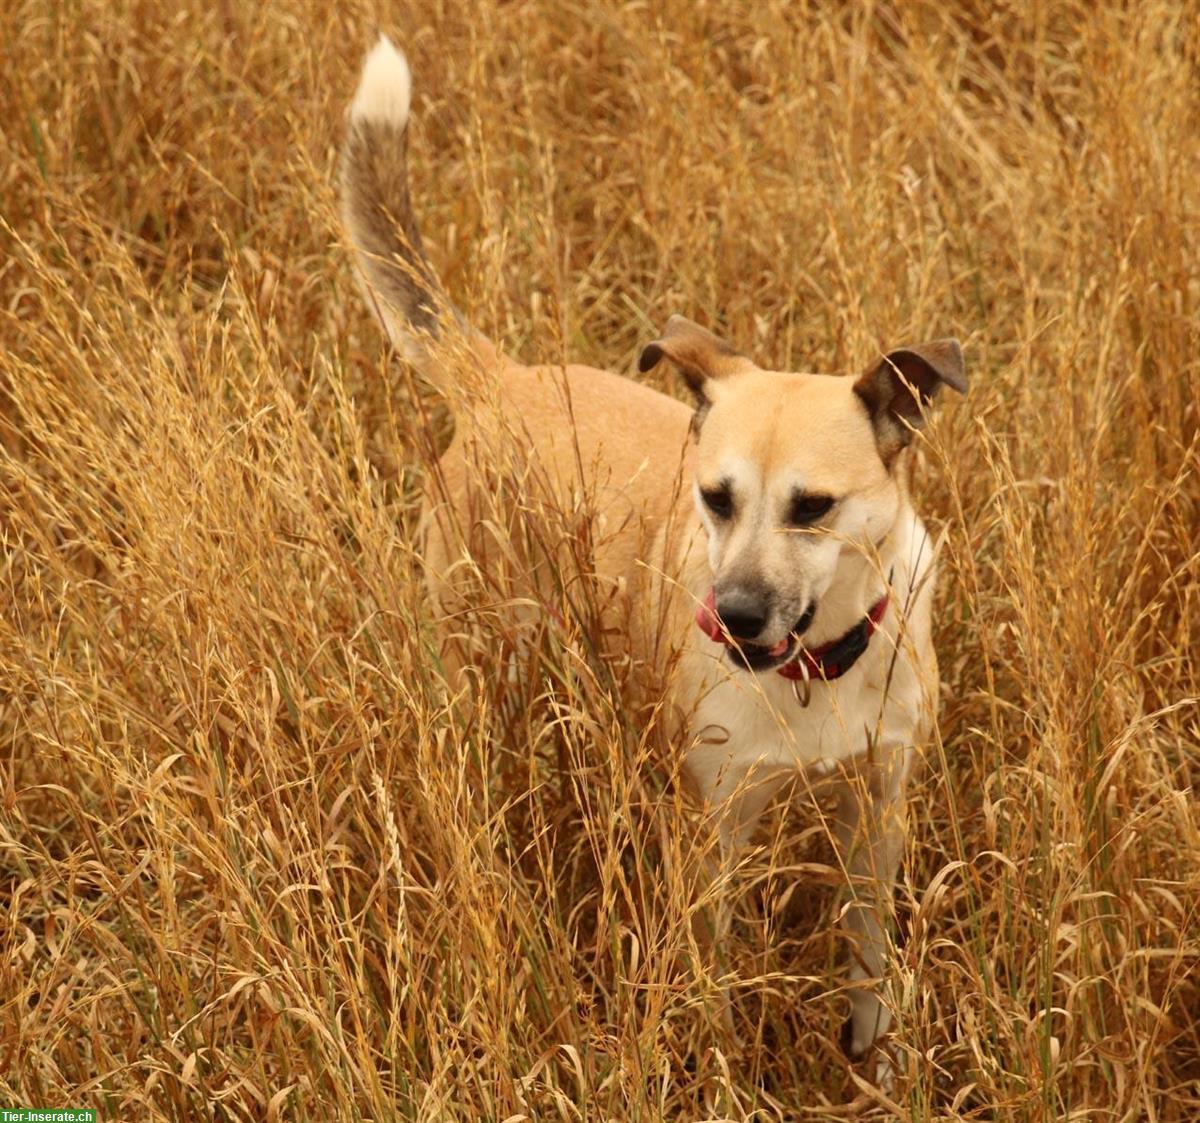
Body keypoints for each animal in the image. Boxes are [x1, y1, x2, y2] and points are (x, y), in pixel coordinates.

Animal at [338, 32, 964, 1070]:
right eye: (714, 496)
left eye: (814, 507)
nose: (736, 619)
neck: (816, 672)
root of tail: (501, 380)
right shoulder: (714, 829)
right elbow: (713, 992)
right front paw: (719, 1071)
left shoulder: (879, 808)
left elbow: (869, 958)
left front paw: (875, 1062)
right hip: (482, 663)